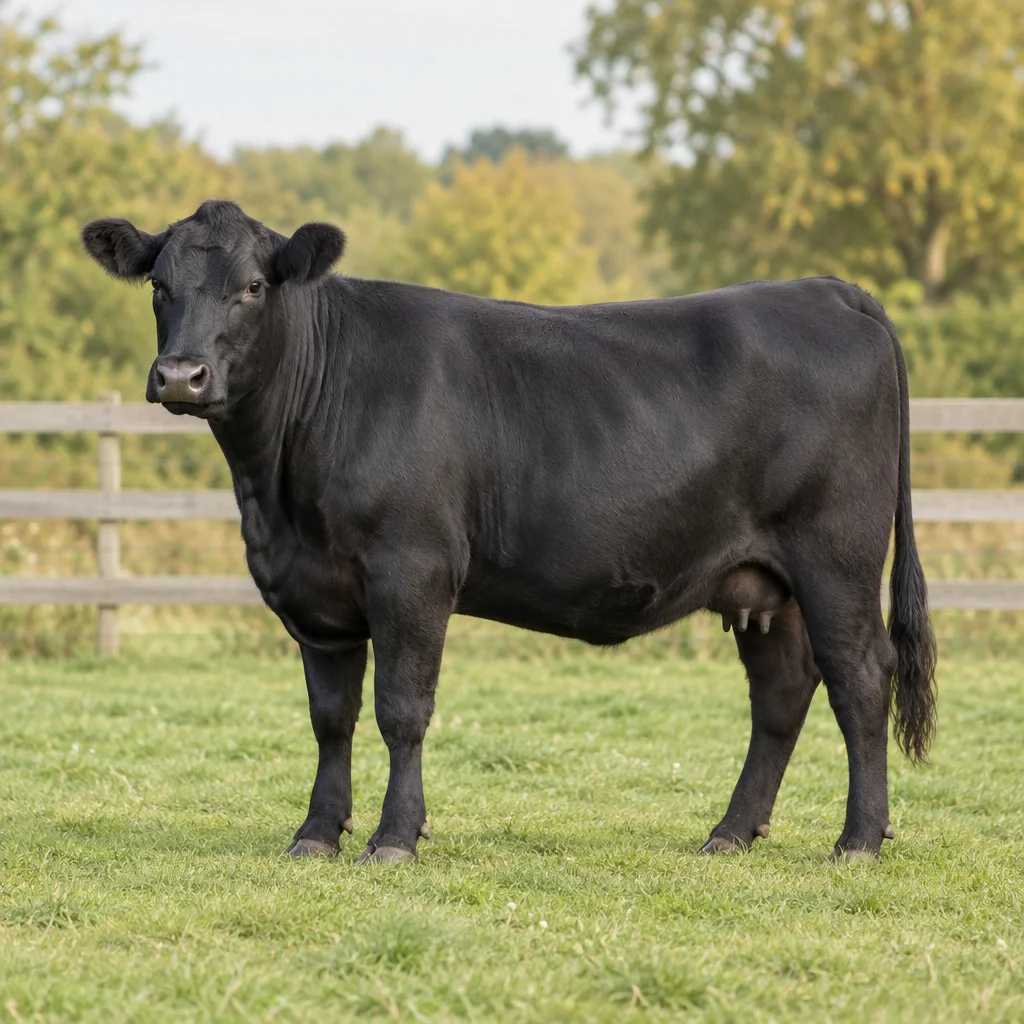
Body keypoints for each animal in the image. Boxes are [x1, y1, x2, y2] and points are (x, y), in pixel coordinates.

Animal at [81, 200, 936, 864]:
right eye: (159, 286)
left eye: (253, 287)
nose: (181, 375)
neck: (279, 494)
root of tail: (826, 290)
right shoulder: (315, 596)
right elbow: (331, 718)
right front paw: (317, 833)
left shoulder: (412, 571)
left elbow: (401, 709)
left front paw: (395, 837)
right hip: (763, 581)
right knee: (782, 692)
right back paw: (730, 832)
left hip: (836, 558)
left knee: (862, 676)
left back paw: (859, 839)